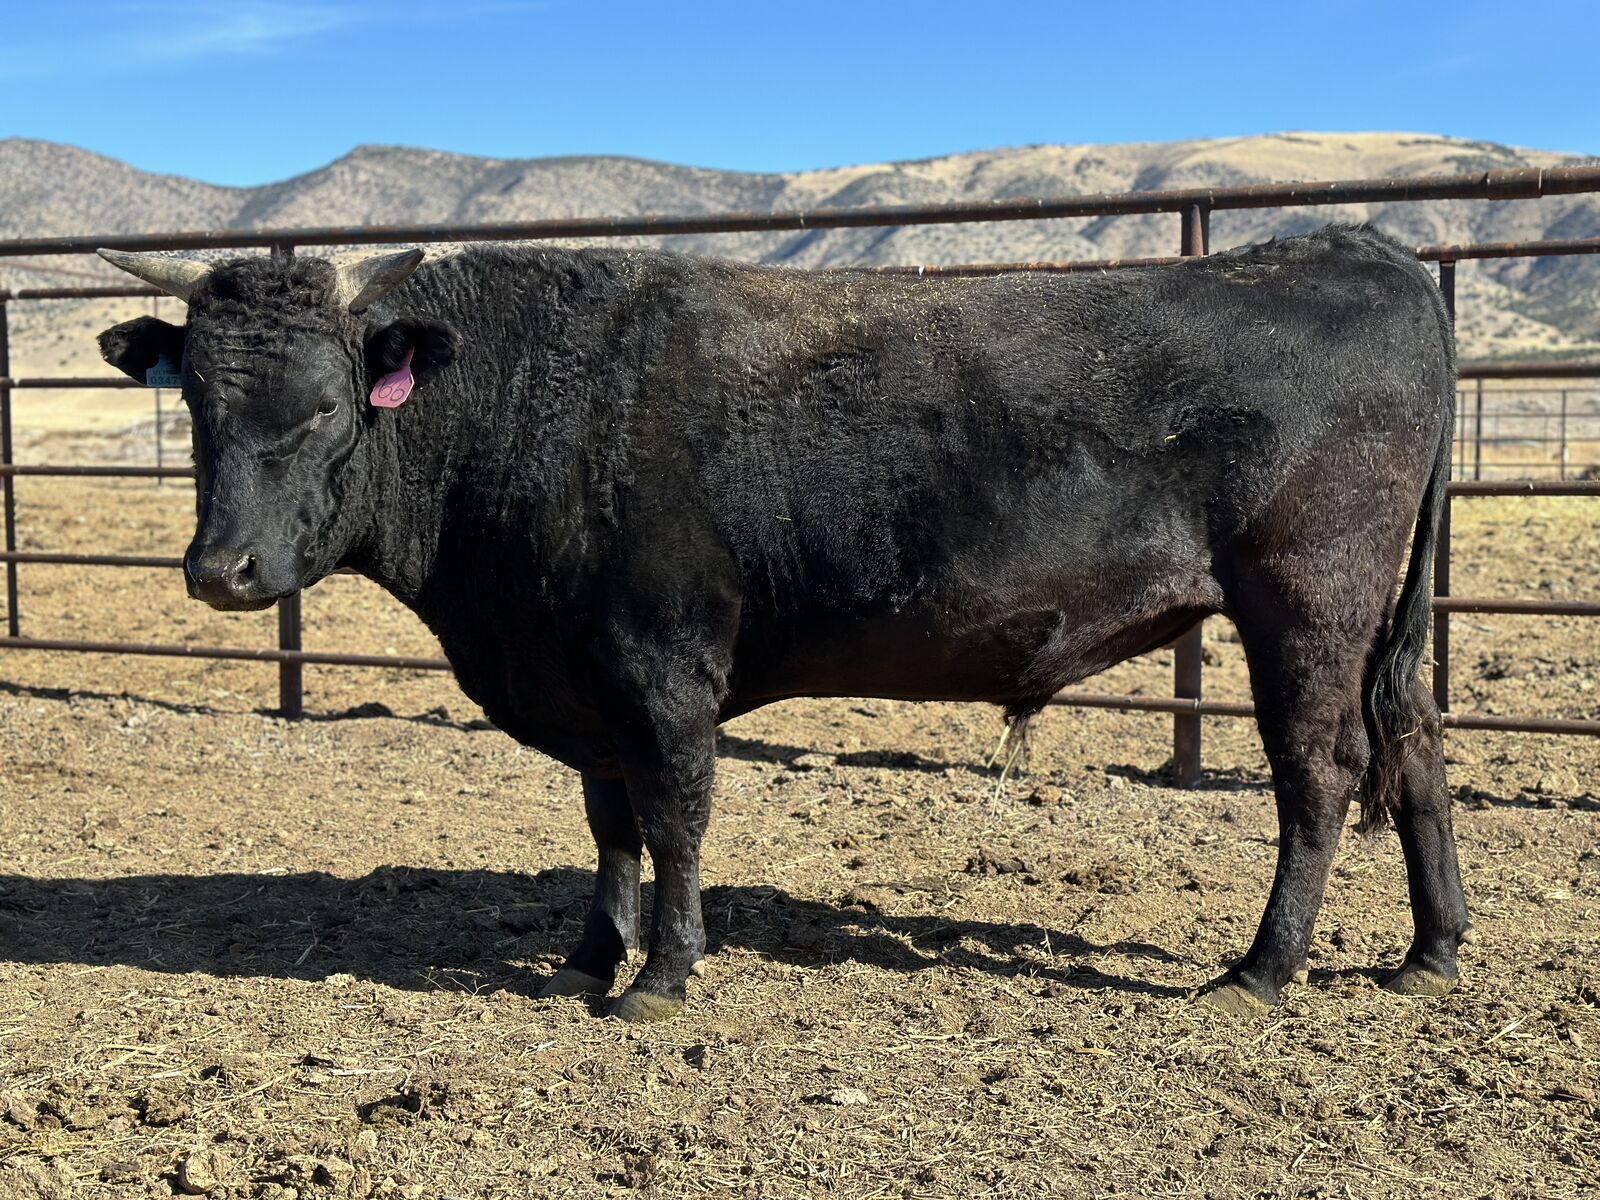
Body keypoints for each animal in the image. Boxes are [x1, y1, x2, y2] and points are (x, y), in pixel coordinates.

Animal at [96, 224, 1470, 1022]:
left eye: (329, 406)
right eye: (197, 403)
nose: (223, 570)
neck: (530, 404)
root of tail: (1355, 249)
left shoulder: (662, 669)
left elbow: (675, 817)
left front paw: (661, 977)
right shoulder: (586, 677)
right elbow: (609, 827)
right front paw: (589, 958)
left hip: (1305, 600)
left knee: (1322, 768)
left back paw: (1261, 971)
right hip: (1368, 622)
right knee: (1413, 743)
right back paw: (1431, 950)